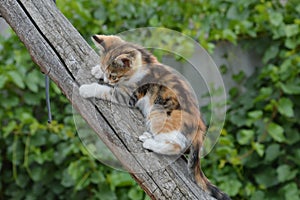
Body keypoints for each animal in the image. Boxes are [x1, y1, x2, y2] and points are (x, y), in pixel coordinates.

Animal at [78, 35, 231, 199]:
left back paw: (149, 142)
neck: (144, 63)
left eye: (113, 75)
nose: (106, 79)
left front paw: (87, 89)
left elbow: (107, 91)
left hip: (159, 110)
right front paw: (96, 71)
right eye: (105, 71)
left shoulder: (128, 94)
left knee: (177, 145)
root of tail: (200, 127)